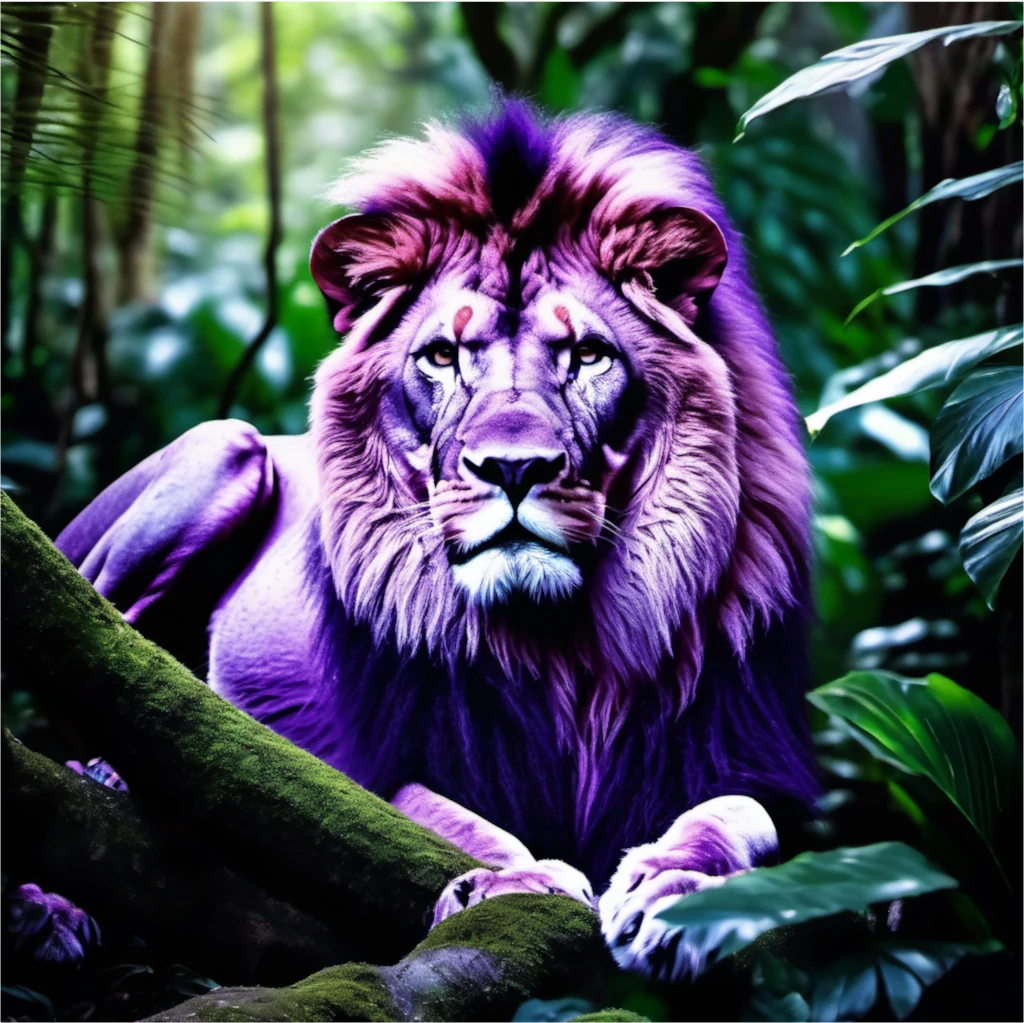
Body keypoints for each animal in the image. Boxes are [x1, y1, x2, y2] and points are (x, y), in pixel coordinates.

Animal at [54, 102, 819, 980]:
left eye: (588, 355)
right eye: (444, 356)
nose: (514, 467)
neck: (564, 644)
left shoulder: (743, 751)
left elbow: (729, 815)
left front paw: (678, 891)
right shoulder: (357, 762)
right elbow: (448, 821)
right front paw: (520, 882)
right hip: (225, 452)